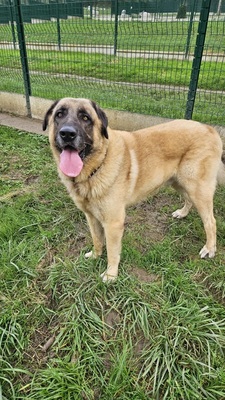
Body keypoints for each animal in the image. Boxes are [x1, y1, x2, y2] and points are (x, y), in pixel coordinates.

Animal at [42, 97, 225, 282]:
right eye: (59, 115)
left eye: (85, 118)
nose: (67, 134)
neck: (97, 165)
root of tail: (209, 128)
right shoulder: (91, 217)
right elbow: (97, 240)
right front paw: (95, 255)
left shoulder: (113, 224)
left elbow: (112, 252)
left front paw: (111, 275)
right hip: (179, 183)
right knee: (189, 200)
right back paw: (182, 213)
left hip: (198, 189)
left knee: (211, 221)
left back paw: (210, 248)